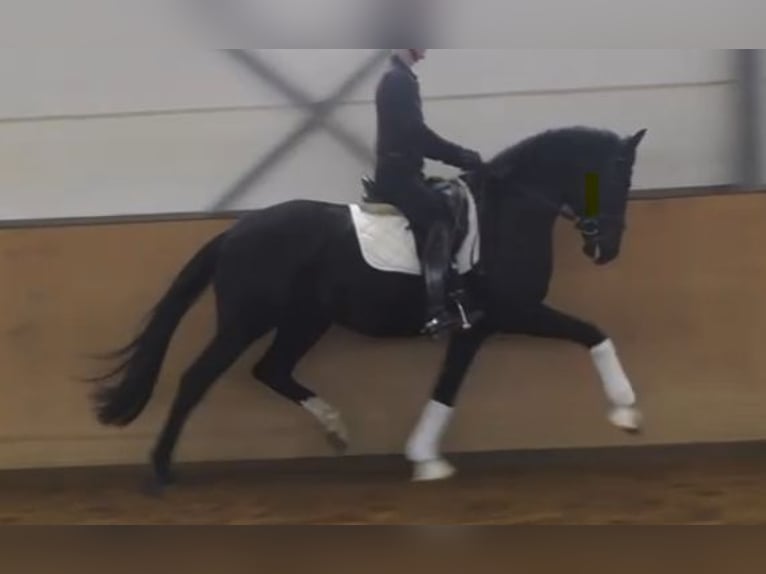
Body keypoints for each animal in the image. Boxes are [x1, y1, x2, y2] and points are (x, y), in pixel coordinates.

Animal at [89, 125, 647, 490]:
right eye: (618, 179)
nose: (607, 250)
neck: (508, 212)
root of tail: (236, 231)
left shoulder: (475, 329)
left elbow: (446, 389)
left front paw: (424, 459)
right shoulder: (516, 311)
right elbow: (593, 332)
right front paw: (626, 411)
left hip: (305, 319)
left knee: (271, 369)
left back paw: (334, 427)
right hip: (247, 320)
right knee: (197, 378)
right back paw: (162, 469)